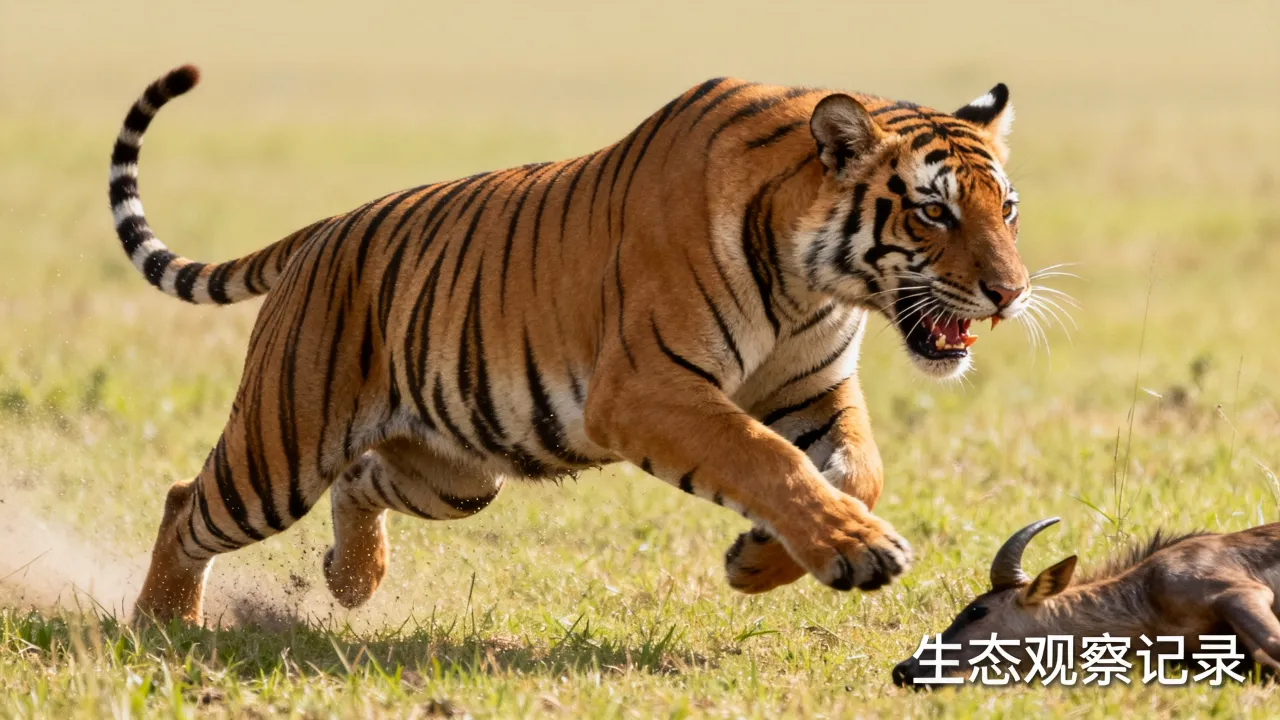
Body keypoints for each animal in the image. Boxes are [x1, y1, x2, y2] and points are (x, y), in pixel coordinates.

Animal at [109, 65, 1033, 623]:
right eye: (934, 211)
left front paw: (762, 562)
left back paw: (351, 579)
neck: (812, 282)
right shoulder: (647, 388)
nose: (1012, 293)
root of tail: (323, 229)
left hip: (454, 471)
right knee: (185, 501)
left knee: (358, 480)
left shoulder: (811, 389)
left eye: (1008, 210)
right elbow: (764, 458)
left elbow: (856, 468)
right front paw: (856, 550)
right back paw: (164, 625)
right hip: (280, 451)